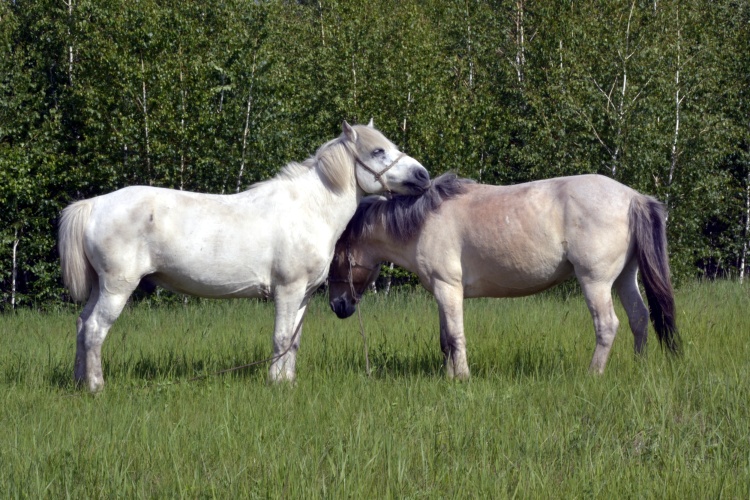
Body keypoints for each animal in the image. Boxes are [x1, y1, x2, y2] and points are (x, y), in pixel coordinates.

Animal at [60, 121, 428, 390]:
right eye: (378, 151)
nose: (423, 175)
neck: (309, 209)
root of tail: (95, 204)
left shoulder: (303, 294)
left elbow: (293, 341)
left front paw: (288, 382)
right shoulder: (288, 290)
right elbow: (281, 337)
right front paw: (276, 384)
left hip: (101, 287)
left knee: (81, 324)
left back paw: (78, 383)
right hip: (117, 287)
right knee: (95, 329)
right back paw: (96, 386)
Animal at [328, 174, 680, 376]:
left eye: (334, 258)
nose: (337, 306)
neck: (423, 221)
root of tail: (633, 197)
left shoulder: (448, 288)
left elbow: (455, 337)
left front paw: (462, 378)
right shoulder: (443, 293)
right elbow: (445, 340)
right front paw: (449, 377)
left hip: (596, 281)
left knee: (608, 325)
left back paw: (593, 374)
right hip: (624, 278)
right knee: (639, 318)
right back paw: (639, 368)